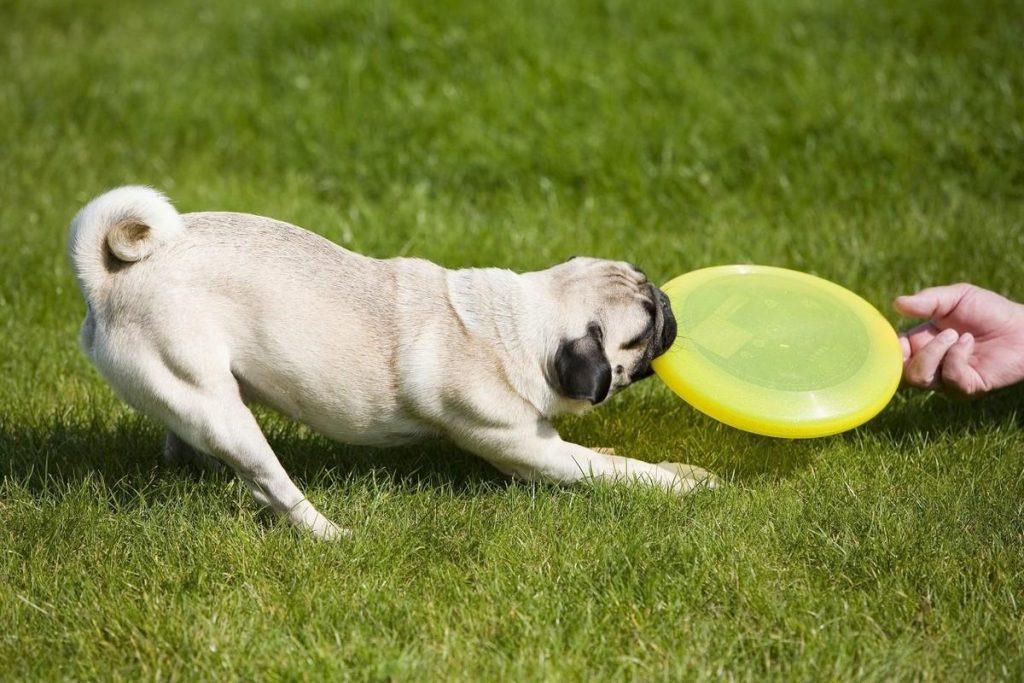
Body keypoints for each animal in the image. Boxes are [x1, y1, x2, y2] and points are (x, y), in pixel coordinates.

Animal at [68, 187, 716, 540]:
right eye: (643, 328)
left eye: (646, 285)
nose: (667, 303)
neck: (516, 323)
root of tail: (107, 279)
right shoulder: (527, 450)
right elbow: (608, 468)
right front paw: (677, 484)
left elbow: (599, 454)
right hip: (222, 413)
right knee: (274, 487)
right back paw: (329, 534)